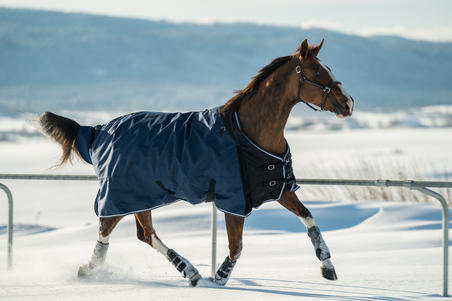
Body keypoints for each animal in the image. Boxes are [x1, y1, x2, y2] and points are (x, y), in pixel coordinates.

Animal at [39, 39, 354, 286]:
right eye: (317, 72)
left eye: (328, 69)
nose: (348, 103)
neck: (250, 133)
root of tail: (99, 130)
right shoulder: (232, 199)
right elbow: (236, 246)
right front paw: (220, 277)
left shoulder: (277, 187)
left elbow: (308, 218)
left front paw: (327, 266)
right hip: (121, 195)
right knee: (107, 229)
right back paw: (93, 270)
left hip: (141, 198)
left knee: (145, 233)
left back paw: (187, 271)